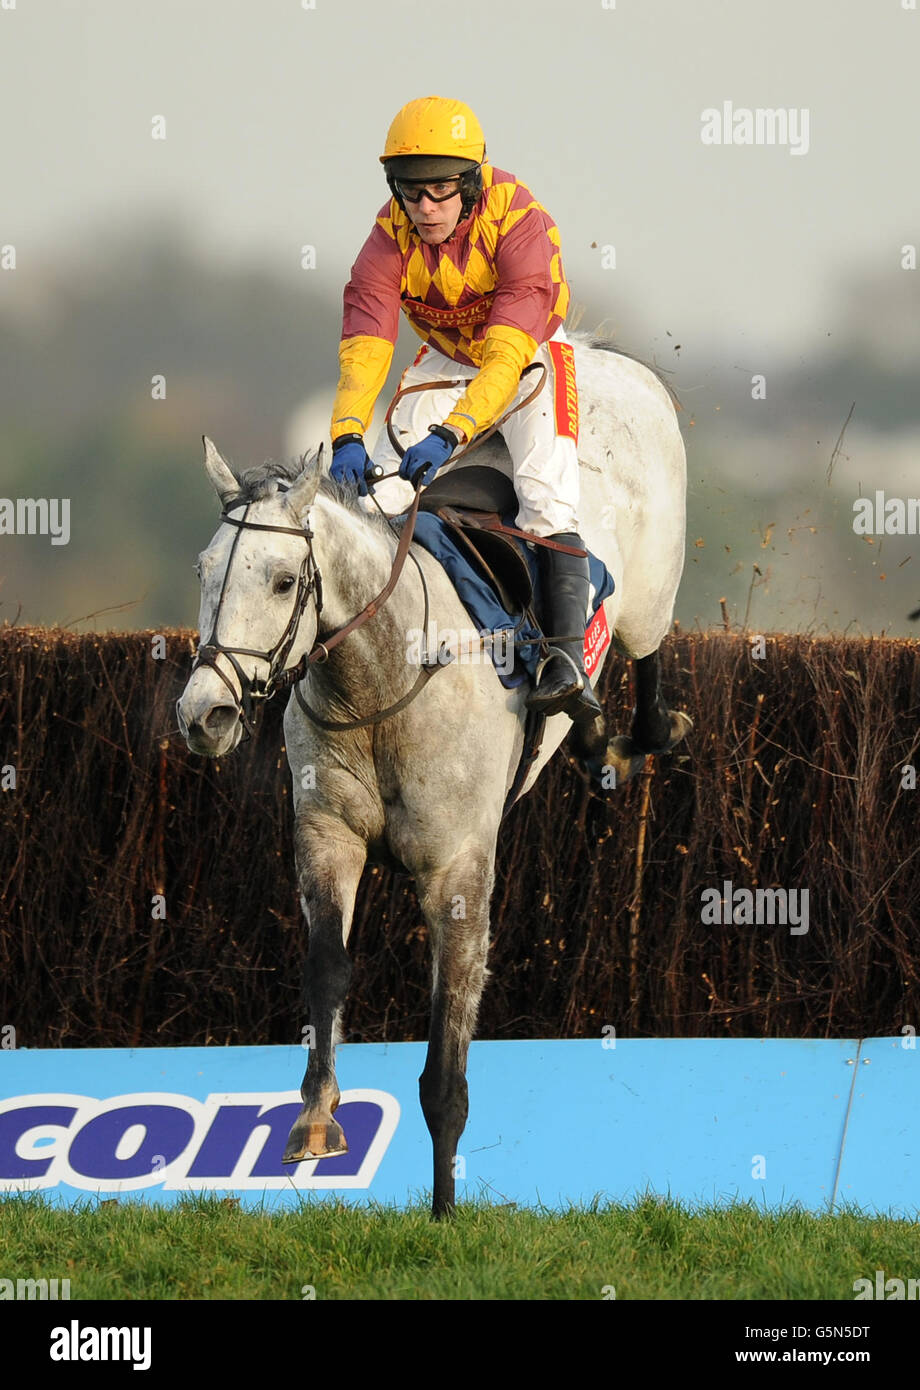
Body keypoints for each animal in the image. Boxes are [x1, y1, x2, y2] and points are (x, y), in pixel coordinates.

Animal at [175, 333, 692, 1217]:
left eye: (283, 580)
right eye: (208, 571)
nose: (202, 713)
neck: (380, 683)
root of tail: (599, 355)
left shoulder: (458, 868)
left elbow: (449, 1040)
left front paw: (446, 1207)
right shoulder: (327, 835)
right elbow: (327, 968)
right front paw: (315, 1121)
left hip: (649, 589)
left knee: (643, 652)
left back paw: (623, 733)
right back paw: (594, 737)